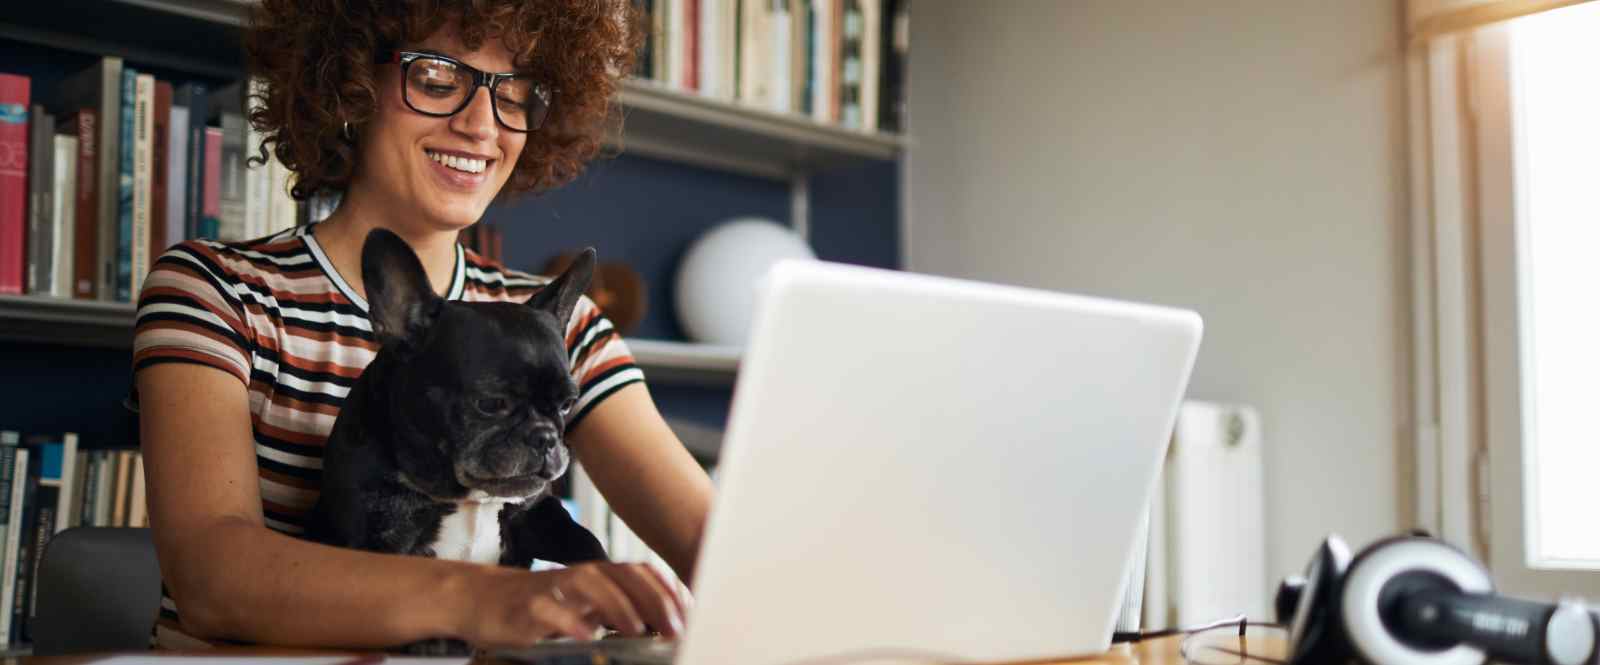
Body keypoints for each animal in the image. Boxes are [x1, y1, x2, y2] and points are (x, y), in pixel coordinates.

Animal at [308, 228, 608, 607]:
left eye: (567, 404)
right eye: (491, 403)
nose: (545, 437)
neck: (467, 496)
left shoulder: (537, 514)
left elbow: (586, 541)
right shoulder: (374, 538)